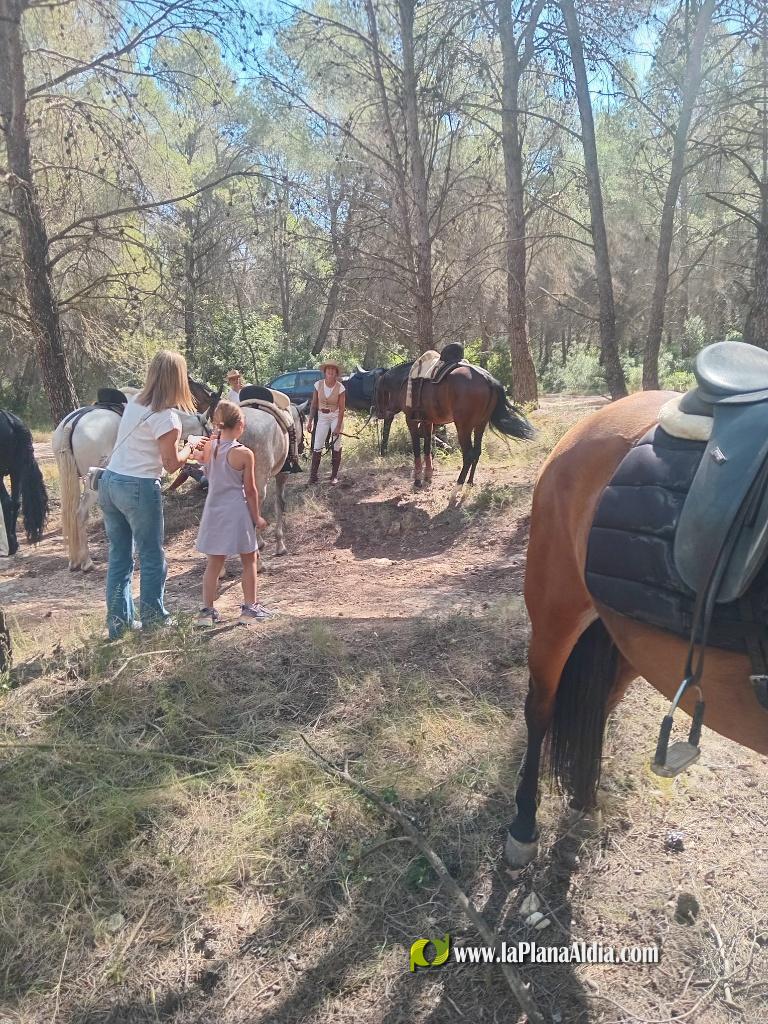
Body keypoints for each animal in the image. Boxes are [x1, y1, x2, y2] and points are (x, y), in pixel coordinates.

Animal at [0, 410, 49, 556]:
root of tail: (11, 420)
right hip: (17, 470)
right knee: (15, 503)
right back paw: (14, 544)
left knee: (7, 502)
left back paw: (10, 546)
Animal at [53, 383, 218, 571]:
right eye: (209, 430)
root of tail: (71, 424)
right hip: (91, 484)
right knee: (81, 514)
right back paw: (86, 561)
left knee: (72, 515)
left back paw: (75, 560)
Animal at [374, 361, 534, 488]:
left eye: (378, 391)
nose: (379, 413)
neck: (404, 382)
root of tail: (487, 378)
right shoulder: (427, 422)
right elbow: (427, 448)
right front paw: (428, 476)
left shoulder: (412, 421)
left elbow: (417, 449)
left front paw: (418, 480)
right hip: (480, 425)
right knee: (477, 452)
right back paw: (469, 482)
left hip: (463, 427)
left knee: (468, 454)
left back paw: (459, 483)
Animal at [505, 390, 768, 868]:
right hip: (556, 615)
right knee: (540, 709)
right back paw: (525, 826)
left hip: (629, 641)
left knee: (601, 706)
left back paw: (583, 801)